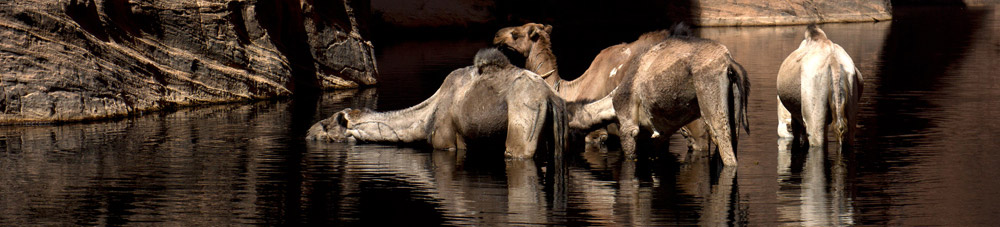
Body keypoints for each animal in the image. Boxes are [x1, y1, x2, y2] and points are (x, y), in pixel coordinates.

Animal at [304, 48, 568, 158]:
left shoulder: (445, 141)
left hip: (524, 125)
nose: (308, 131)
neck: (425, 119)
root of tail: (550, 97)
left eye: (327, 125)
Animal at [564, 30, 752, 165]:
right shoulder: (657, 135)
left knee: (722, 140)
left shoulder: (628, 124)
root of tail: (729, 63)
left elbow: (630, 155)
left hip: (710, 93)